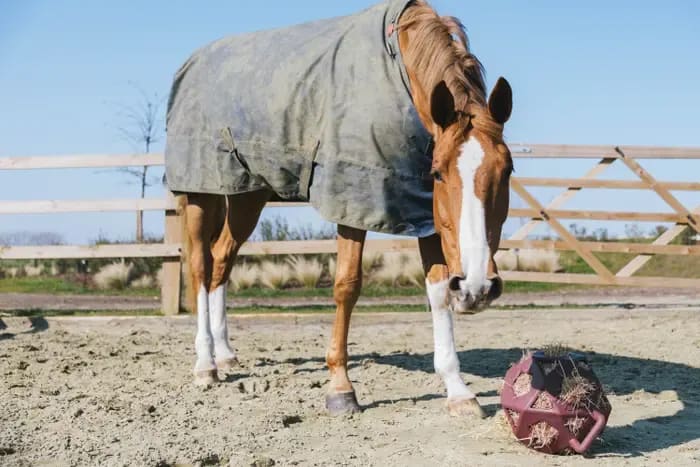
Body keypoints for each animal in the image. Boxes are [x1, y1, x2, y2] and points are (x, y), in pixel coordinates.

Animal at [164, 0, 513, 418]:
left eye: (508, 170)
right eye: (439, 173)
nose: (478, 289)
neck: (397, 70)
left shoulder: (425, 212)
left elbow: (439, 289)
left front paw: (458, 390)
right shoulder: (352, 197)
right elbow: (347, 285)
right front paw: (340, 388)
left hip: (249, 196)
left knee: (221, 261)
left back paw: (226, 353)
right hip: (200, 192)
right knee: (201, 266)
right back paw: (206, 365)